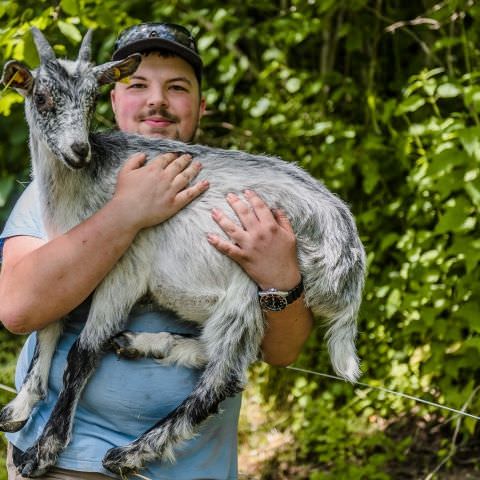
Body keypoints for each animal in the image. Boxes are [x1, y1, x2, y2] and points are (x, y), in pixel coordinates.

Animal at [0, 28, 366, 478]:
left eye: (93, 98)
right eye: (42, 97)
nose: (78, 150)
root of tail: (351, 261)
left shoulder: (125, 269)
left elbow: (81, 355)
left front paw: (42, 452)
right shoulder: (64, 266)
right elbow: (46, 327)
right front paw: (18, 409)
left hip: (252, 281)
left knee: (224, 378)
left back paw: (128, 453)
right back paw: (145, 343)